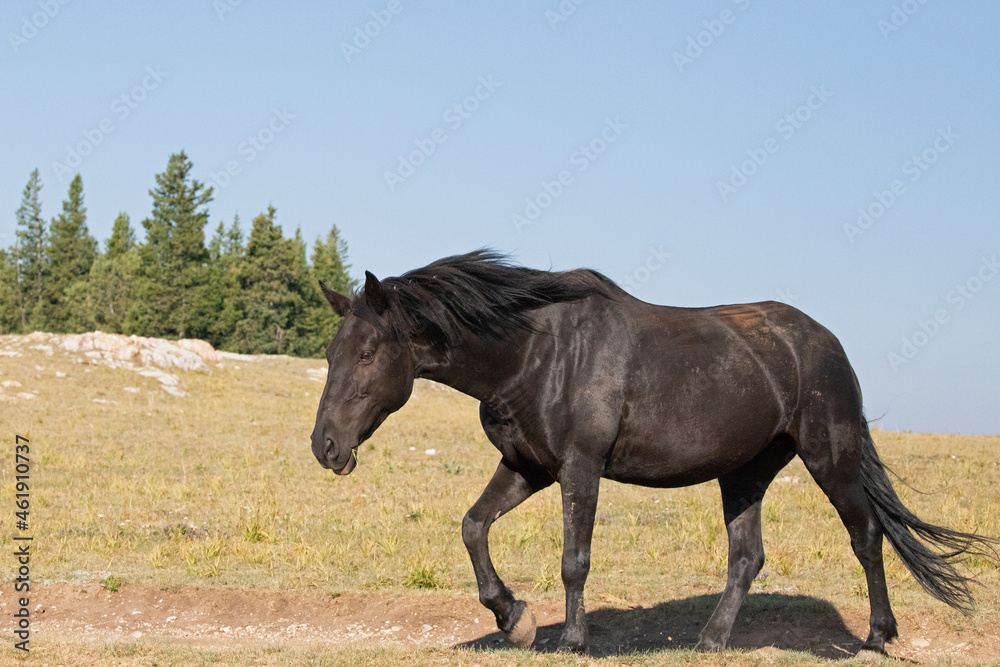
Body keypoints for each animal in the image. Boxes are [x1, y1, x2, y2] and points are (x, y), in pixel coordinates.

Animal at [310, 253, 992, 656]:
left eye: (367, 354)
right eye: (332, 352)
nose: (325, 446)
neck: (535, 355)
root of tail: (826, 342)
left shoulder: (579, 469)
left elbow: (574, 560)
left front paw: (572, 639)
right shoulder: (528, 468)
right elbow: (474, 526)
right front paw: (513, 617)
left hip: (831, 457)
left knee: (866, 536)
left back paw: (877, 635)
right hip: (745, 473)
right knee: (748, 557)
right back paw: (710, 640)